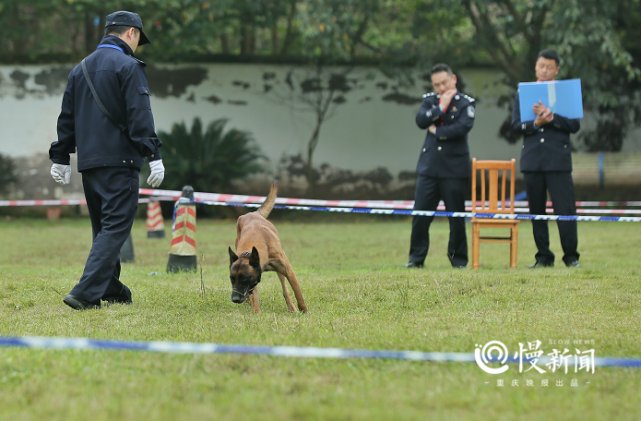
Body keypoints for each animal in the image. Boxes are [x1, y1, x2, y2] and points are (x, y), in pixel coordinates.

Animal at [228, 182, 308, 314]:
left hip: (281, 270)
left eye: (244, 279)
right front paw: (256, 313)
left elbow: (298, 292)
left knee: (285, 289)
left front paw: (304, 311)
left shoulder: (289, 271)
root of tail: (253, 213)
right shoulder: (254, 281)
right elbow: (254, 298)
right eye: (232, 279)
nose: (235, 299)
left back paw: (291, 308)